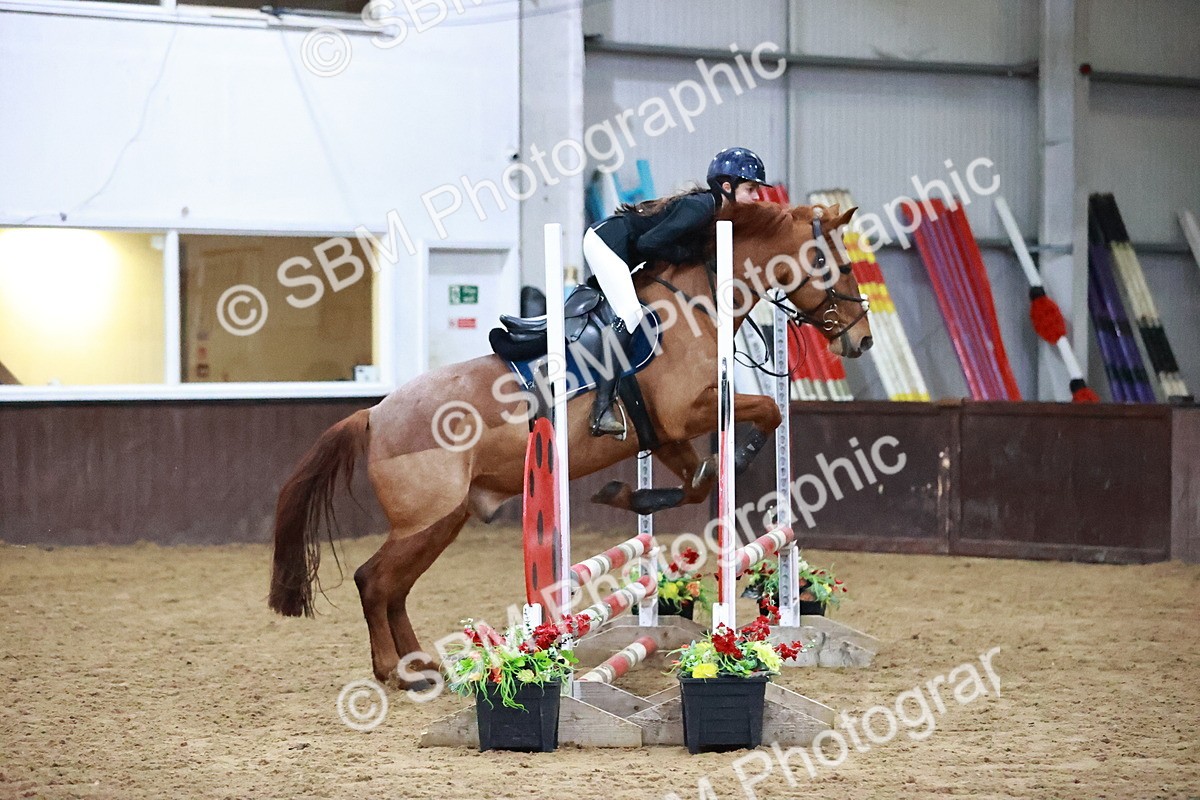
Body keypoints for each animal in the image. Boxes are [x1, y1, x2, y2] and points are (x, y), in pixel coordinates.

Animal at [267, 201, 873, 688]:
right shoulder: (684, 412)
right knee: (374, 581)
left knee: (395, 587)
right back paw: (397, 670)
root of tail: (373, 414)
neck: (697, 300)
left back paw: (420, 664)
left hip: (443, 521)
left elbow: (696, 483)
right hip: (425, 519)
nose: (862, 339)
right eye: (837, 265)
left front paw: (624, 495)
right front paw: (734, 459)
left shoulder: (663, 433)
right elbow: (766, 412)